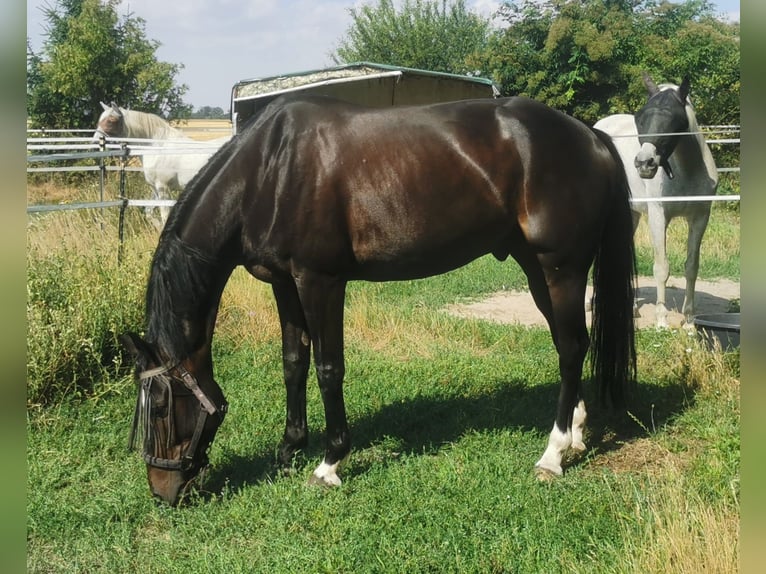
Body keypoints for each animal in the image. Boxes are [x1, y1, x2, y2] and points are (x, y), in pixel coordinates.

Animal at [93, 102, 230, 227]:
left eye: (111, 121)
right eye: (100, 119)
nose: (95, 143)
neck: (157, 147)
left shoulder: (163, 188)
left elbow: (164, 216)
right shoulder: (155, 189)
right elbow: (149, 212)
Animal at [120, 94, 637, 506]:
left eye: (161, 406)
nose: (161, 491)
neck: (269, 170)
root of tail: (589, 135)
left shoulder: (320, 281)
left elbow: (328, 369)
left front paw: (329, 463)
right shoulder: (283, 282)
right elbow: (293, 363)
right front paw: (289, 448)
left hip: (561, 268)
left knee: (570, 348)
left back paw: (552, 454)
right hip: (537, 269)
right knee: (572, 344)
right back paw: (576, 434)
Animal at [594, 73, 718, 328]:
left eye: (674, 118)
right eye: (640, 117)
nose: (644, 163)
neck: (687, 171)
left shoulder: (700, 217)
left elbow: (692, 267)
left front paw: (689, 321)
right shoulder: (658, 216)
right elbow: (662, 267)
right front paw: (661, 321)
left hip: (630, 213)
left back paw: (631, 308)